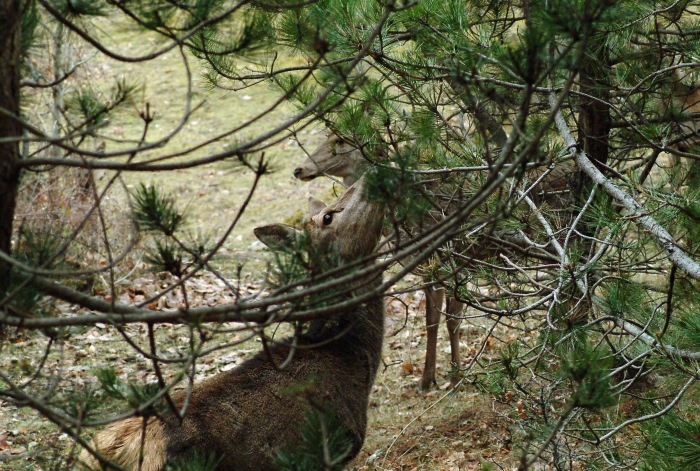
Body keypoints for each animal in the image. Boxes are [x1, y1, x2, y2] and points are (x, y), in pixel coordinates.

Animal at [292, 134, 576, 390]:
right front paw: (426, 380)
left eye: (339, 140)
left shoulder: (452, 261)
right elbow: (431, 321)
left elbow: (452, 320)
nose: (299, 169)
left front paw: (456, 379)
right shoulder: (429, 270)